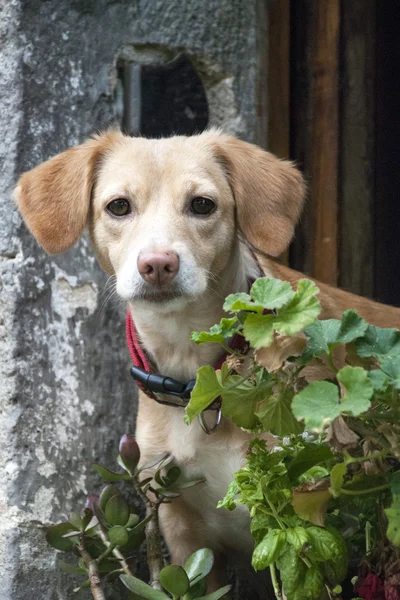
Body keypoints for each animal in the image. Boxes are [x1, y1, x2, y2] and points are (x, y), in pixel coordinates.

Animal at [14, 130, 400, 584]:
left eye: (202, 204)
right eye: (118, 206)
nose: (157, 264)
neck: (197, 378)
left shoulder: (308, 513)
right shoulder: (182, 532)